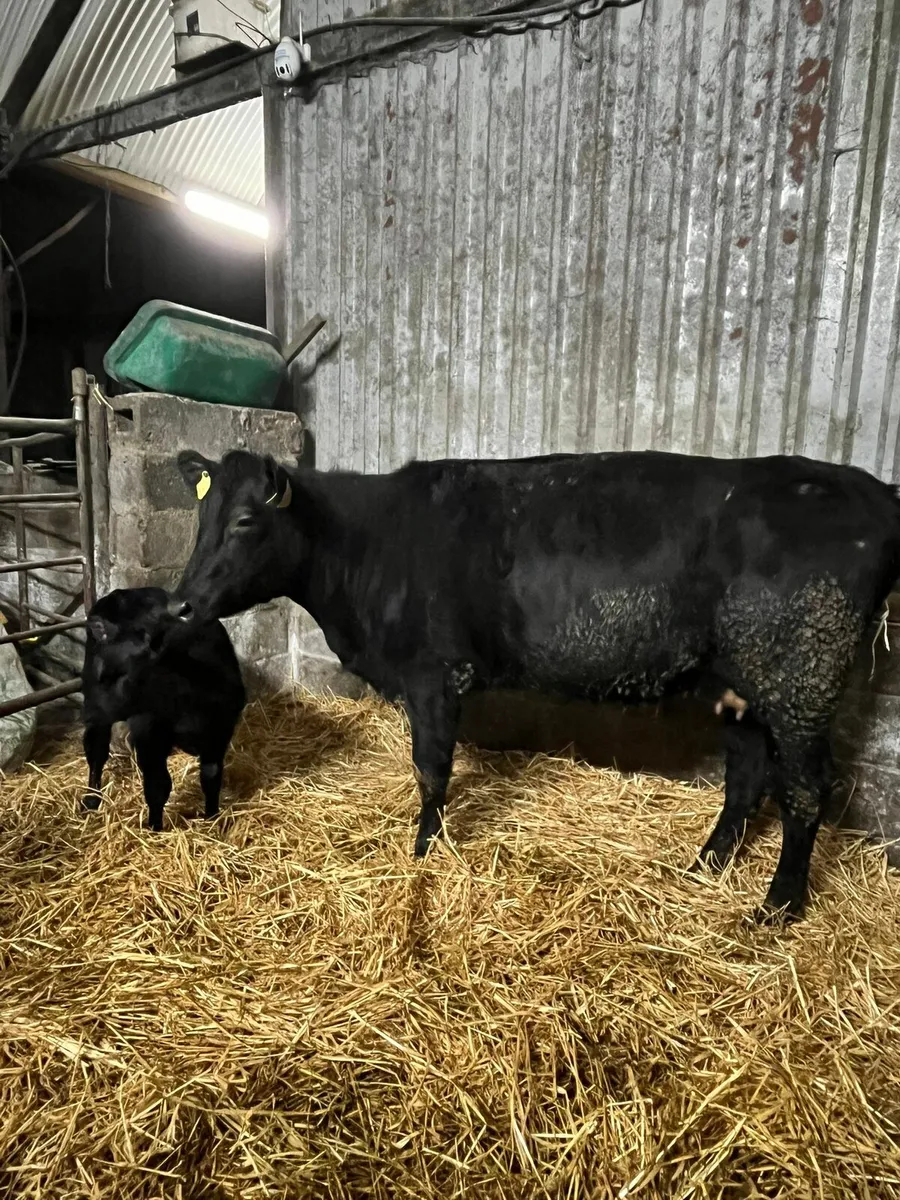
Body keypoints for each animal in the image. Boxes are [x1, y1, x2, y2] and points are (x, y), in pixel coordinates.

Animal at [81, 587, 246, 831]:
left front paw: (212, 818)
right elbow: (158, 785)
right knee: (96, 749)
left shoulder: (220, 728)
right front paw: (155, 828)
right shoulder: (149, 733)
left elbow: (211, 775)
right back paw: (92, 798)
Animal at [174, 447, 900, 921]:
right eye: (200, 519)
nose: (181, 604)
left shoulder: (435, 674)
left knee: (805, 789)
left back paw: (777, 907)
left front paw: (424, 851)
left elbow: (431, 769)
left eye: (245, 521)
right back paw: (707, 867)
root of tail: (871, 489)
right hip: (739, 685)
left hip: (802, 677)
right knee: (747, 776)